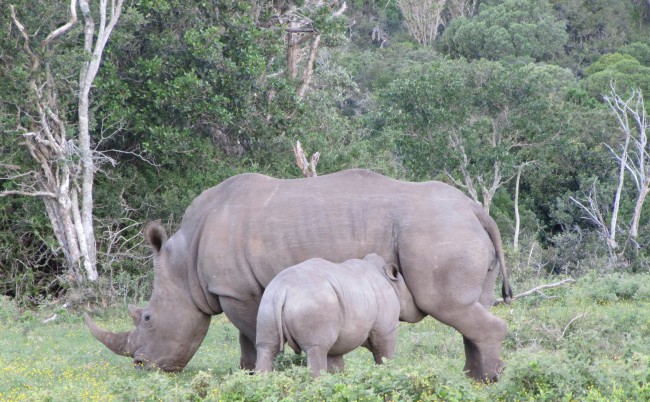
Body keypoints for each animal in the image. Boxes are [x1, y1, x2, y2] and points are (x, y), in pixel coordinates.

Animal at [255, 254, 423, 377]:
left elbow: (336, 364)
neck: (390, 281)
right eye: (410, 297)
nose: (418, 313)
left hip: (268, 301)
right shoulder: (385, 329)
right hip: (313, 301)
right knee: (316, 350)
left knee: (266, 347)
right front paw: (387, 374)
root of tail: (283, 289)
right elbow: (384, 355)